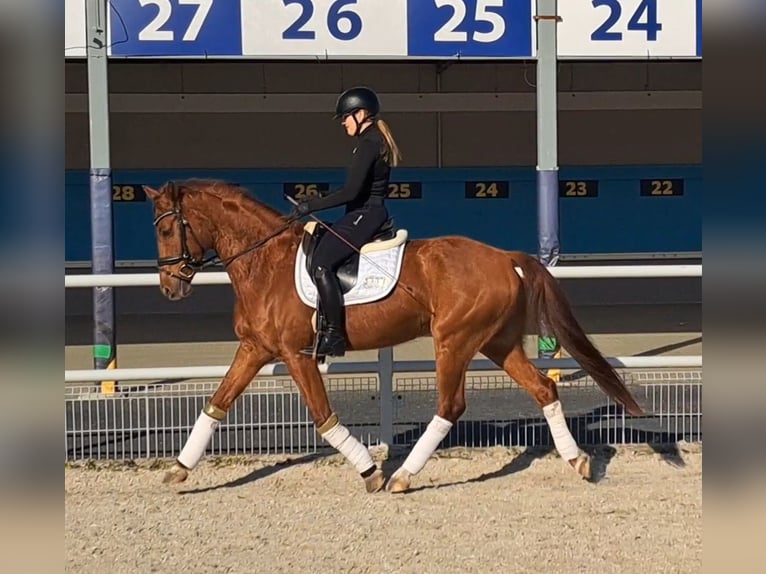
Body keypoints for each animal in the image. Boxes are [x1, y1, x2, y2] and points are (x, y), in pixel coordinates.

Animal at [146, 181, 648, 496]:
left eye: (167, 228)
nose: (170, 287)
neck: (266, 261)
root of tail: (504, 256)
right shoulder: (255, 349)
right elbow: (216, 404)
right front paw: (178, 469)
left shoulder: (296, 354)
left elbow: (324, 418)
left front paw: (370, 471)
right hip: (496, 342)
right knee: (543, 389)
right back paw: (577, 460)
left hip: (454, 341)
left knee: (450, 406)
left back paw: (403, 476)